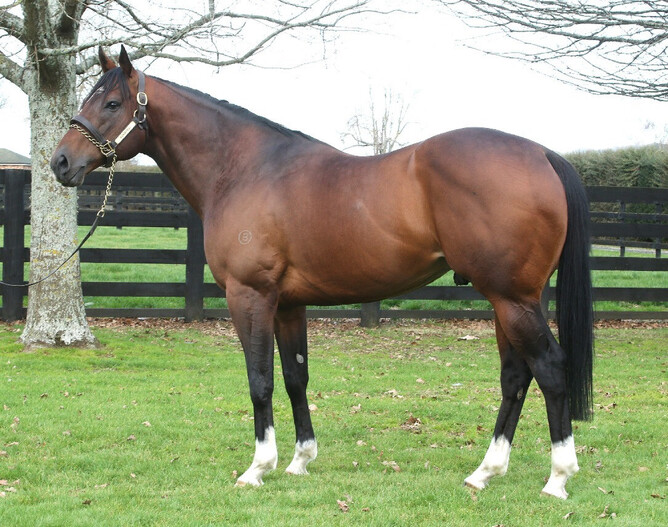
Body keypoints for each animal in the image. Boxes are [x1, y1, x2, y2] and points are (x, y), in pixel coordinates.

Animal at [51, 46, 593, 499]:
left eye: (113, 102)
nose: (60, 162)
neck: (244, 170)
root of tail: (541, 153)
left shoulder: (250, 296)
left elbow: (260, 379)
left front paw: (257, 468)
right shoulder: (289, 304)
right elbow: (295, 377)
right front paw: (299, 461)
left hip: (512, 298)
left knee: (549, 368)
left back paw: (558, 478)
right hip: (509, 300)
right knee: (515, 376)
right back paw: (485, 472)